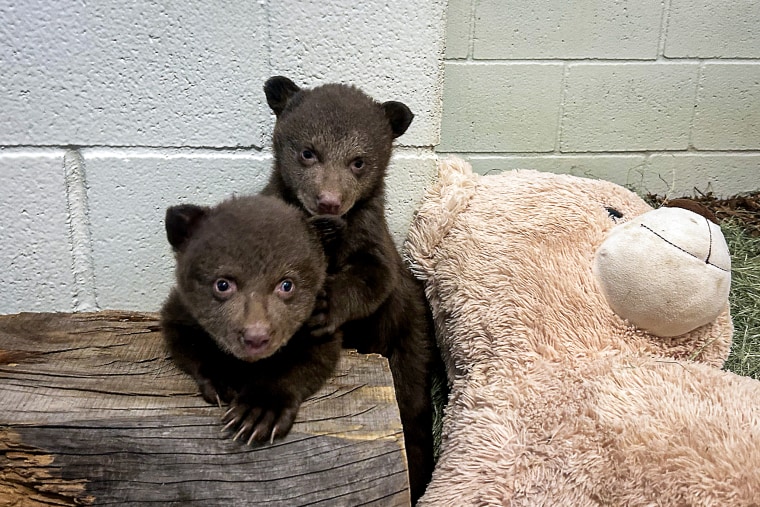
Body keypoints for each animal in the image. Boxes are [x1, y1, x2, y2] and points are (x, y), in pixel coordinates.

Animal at [160, 194, 342, 445]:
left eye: (286, 284)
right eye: (223, 284)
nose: (256, 337)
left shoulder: (317, 322)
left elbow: (311, 357)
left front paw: (259, 411)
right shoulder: (181, 311)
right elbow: (185, 340)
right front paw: (222, 379)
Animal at [261, 76, 437, 502]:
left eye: (359, 161)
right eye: (308, 152)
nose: (329, 201)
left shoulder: (372, 237)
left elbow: (375, 277)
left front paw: (324, 306)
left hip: (411, 340)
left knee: (413, 407)